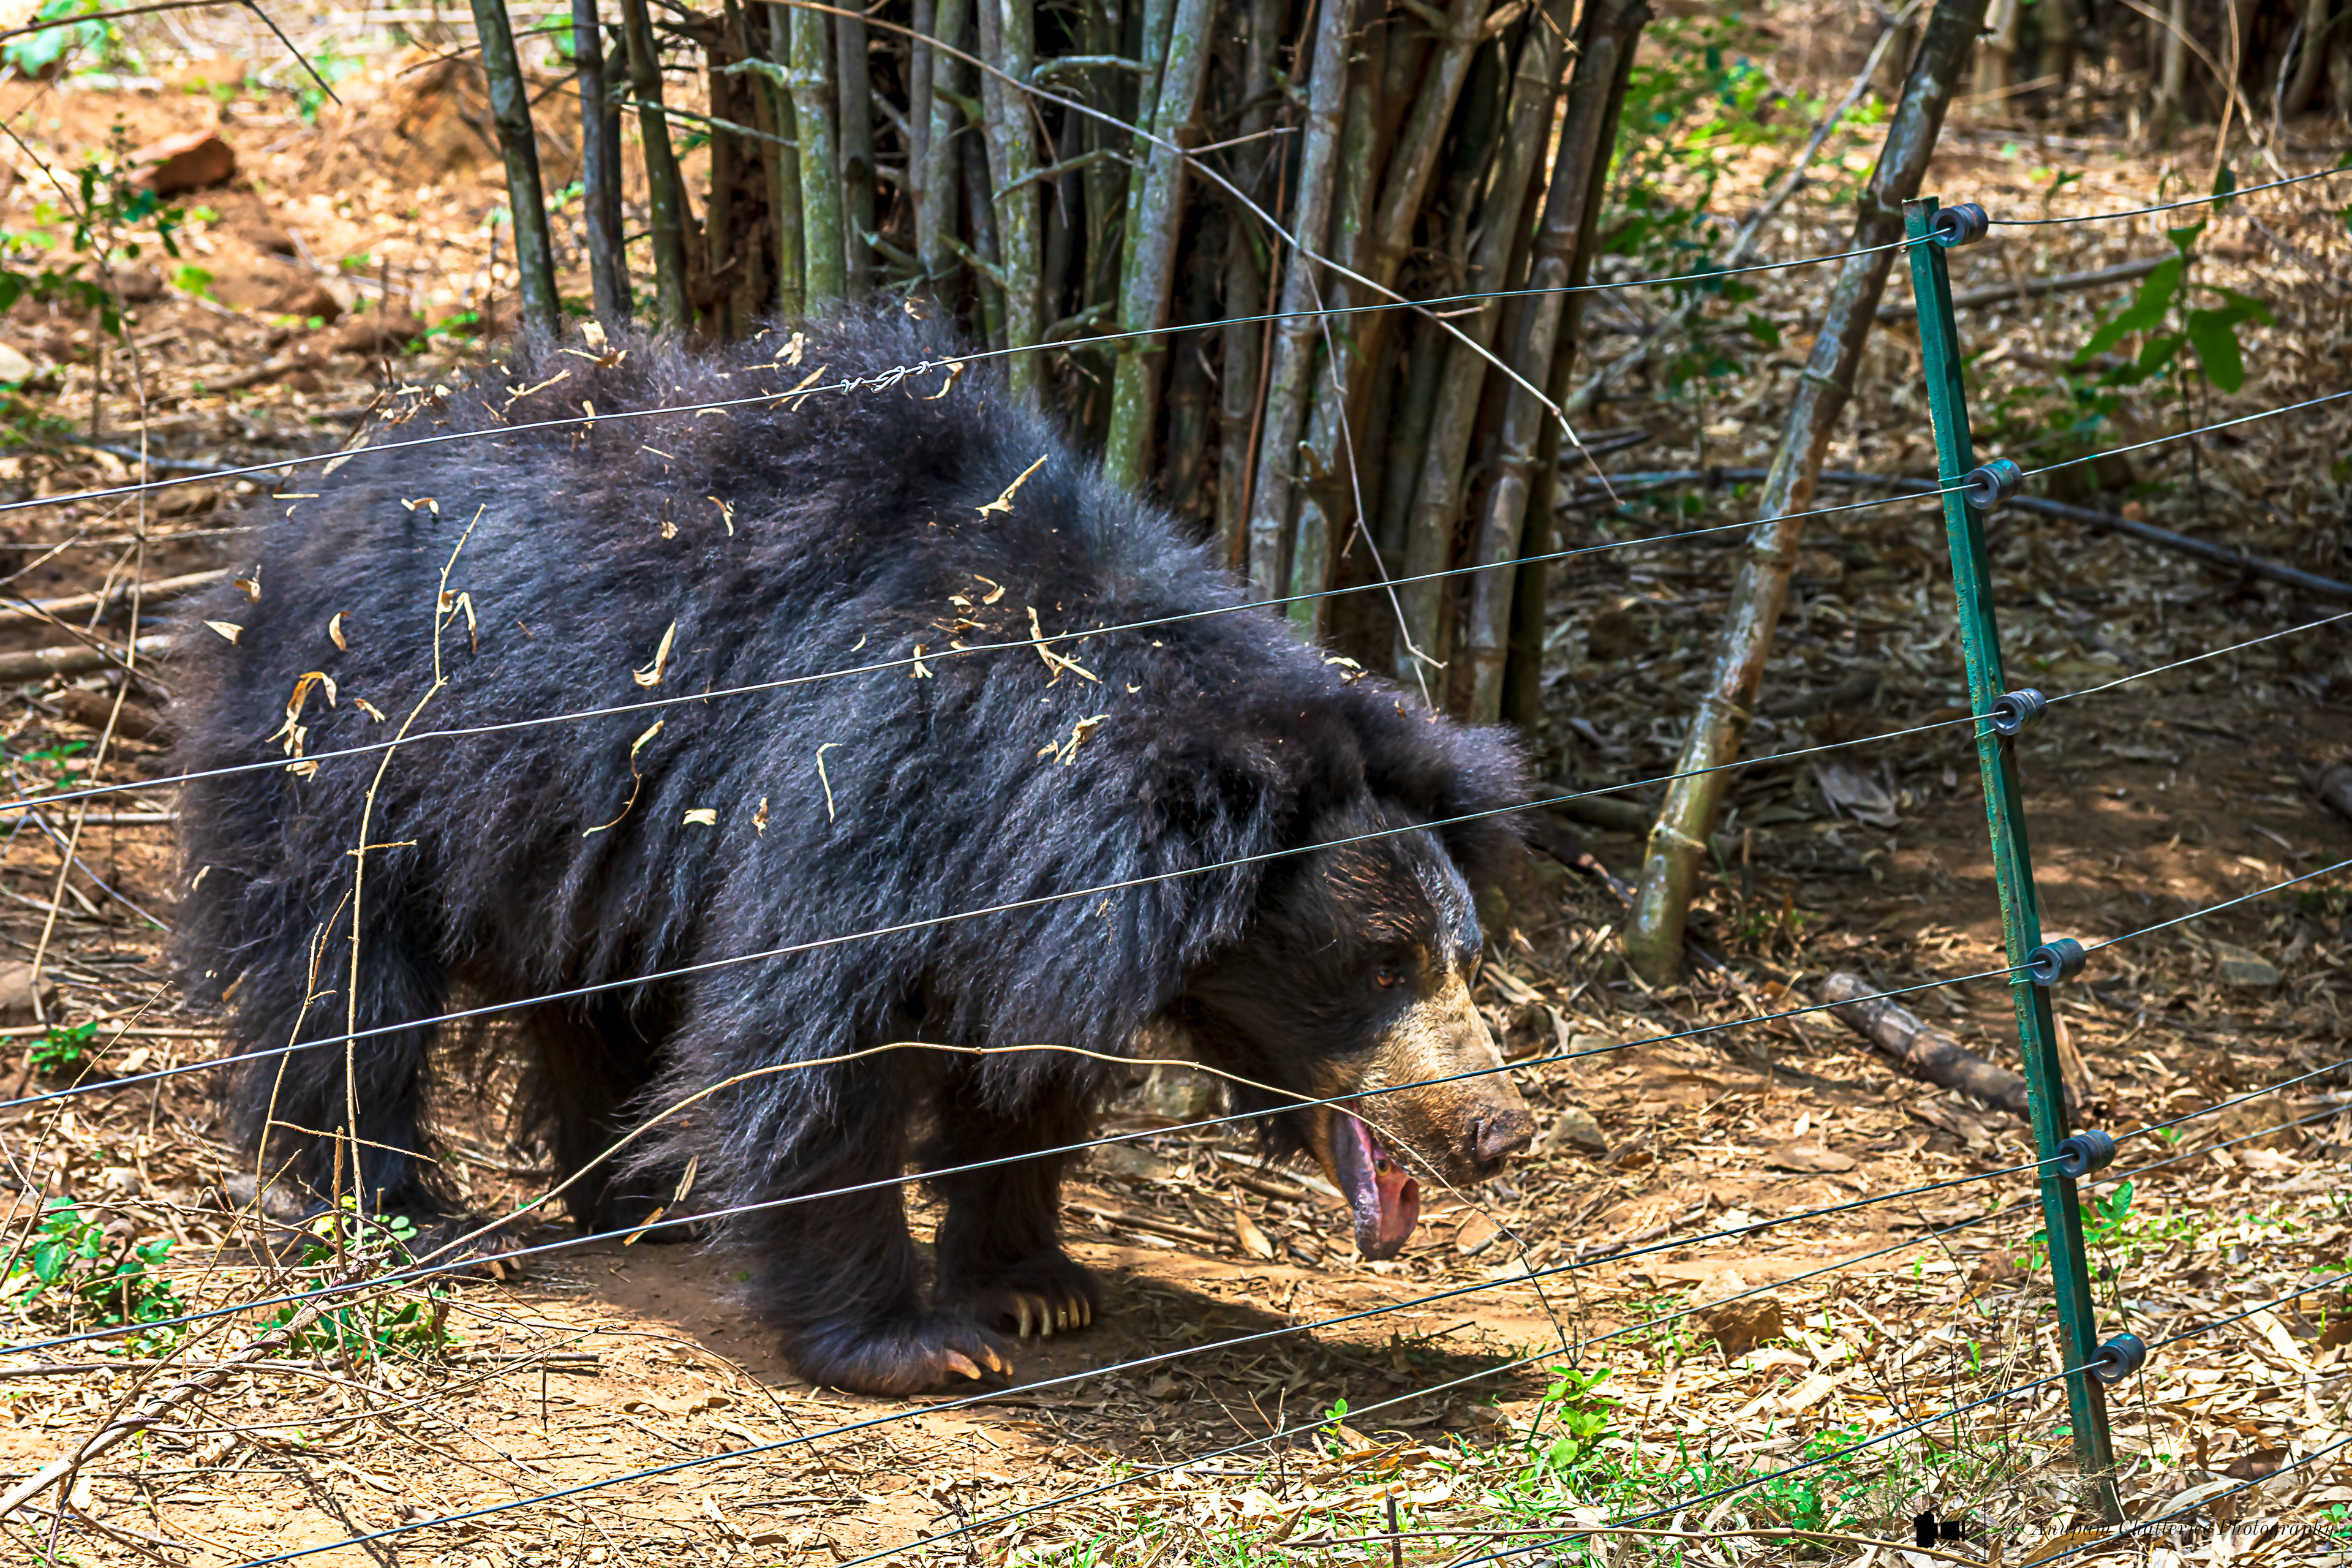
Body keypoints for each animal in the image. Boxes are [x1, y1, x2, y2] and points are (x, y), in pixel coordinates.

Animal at [172, 311, 1537, 1395]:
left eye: (1464, 958)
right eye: (1380, 967)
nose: (1498, 1132)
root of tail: (302, 512)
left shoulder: (1029, 895)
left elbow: (1016, 1066)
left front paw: (1038, 1285)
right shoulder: (866, 778)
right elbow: (815, 1042)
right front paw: (914, 1346)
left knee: (590, 992)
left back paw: (648, 1201)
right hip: (361, 754)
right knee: (346, 976)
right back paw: (401, 1214)